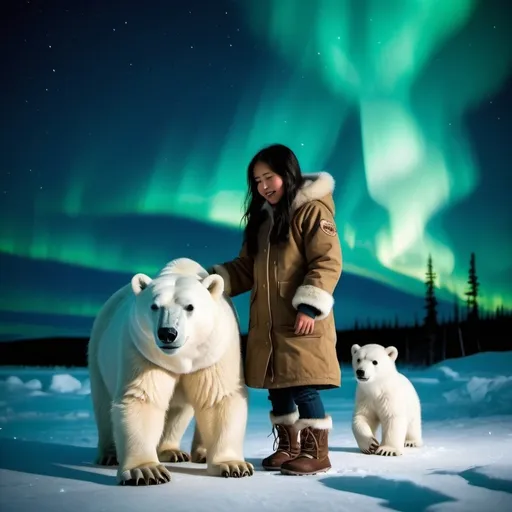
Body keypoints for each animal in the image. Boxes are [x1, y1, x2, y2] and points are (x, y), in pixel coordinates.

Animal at [89, 258, 255, 486]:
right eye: (154, 306)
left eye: (190, 306)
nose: (167, 333)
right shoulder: (143, 351)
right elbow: (143, 398)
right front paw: (146, 471)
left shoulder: (214, 352)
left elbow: (217, 398)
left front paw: (233, 465)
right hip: (99, 350)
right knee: (104, 405)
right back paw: (110, 455)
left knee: (178, 410)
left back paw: (180, 452)